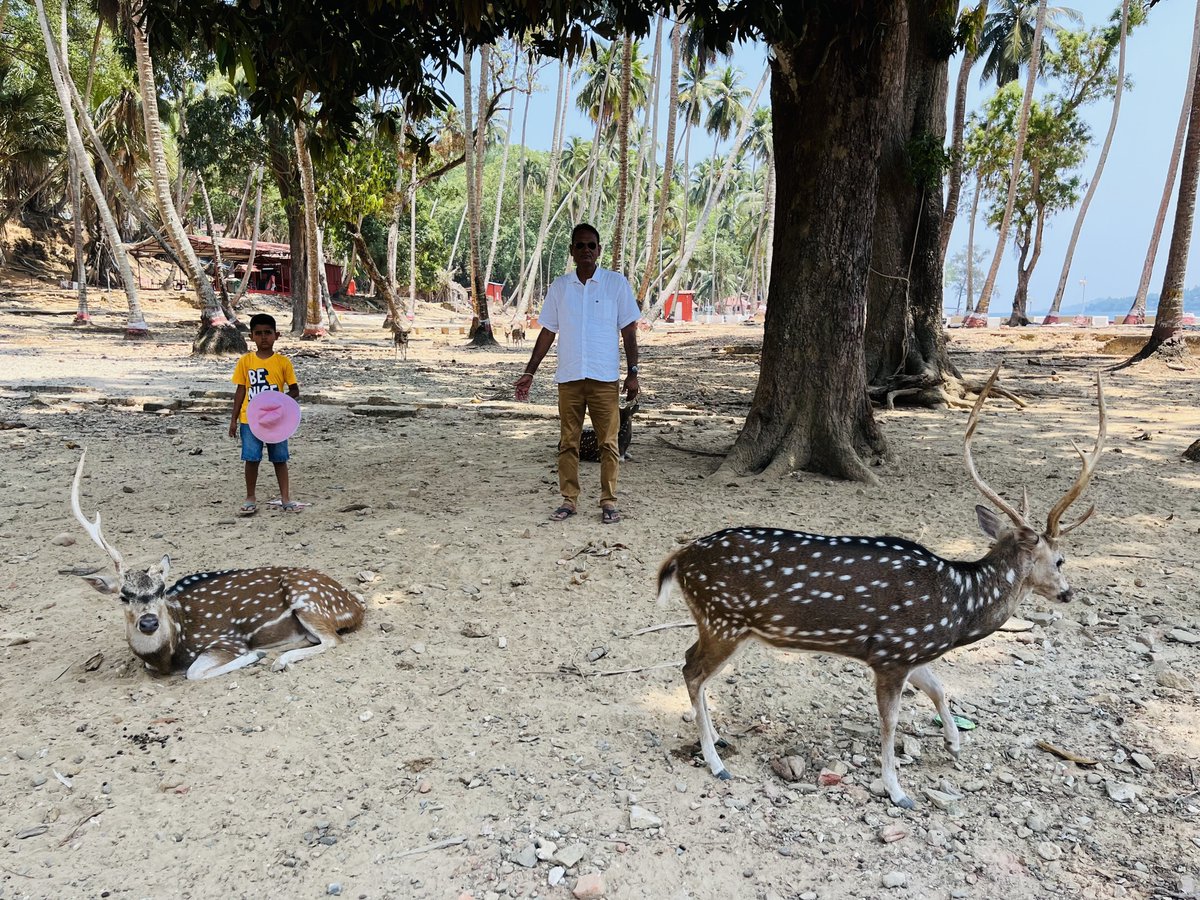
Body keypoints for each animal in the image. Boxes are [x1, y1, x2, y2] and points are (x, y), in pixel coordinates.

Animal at [66, 453, 360, 681]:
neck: (170, 653)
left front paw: (256, 654)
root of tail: (355, 606)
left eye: (161, 591)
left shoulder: (226, 641)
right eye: (123, 596)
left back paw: (280, 659)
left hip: (306, 598)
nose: (148, 622)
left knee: (333, 640)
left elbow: (193, 673)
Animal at [657, 367, 1104, 811]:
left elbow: (939, 688)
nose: (1068, 593)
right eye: (1060, 560)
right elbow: (889, 722)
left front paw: (954, 743)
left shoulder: (912, 650)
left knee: (690, 664)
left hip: (725, 625)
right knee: (692, 671)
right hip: (723, 619)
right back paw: (716, 763)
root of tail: (678, 558)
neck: (958, 607)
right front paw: (897, 789)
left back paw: (717, 738)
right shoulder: (892, 652)